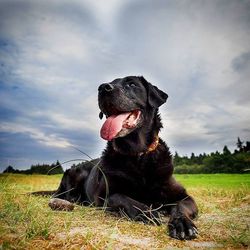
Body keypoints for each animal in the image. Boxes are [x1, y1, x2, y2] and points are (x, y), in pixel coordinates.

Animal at [53, 76, 198, 240]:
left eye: (132, 84)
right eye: (110, 83)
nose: (103, 88)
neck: (137, 155)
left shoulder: (184, 196)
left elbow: (180, 206)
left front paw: (182, 223)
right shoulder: (105, 196)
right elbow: (125, 199)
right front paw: (147, 213)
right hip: (75, 173)